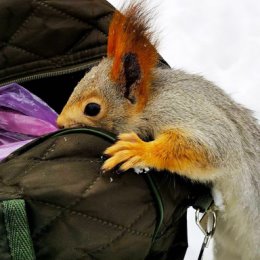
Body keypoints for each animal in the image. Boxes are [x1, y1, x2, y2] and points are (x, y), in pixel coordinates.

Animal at [57, 2, 260, 260]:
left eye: (92, 108)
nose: (59, 124)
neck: (152, 100)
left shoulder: (185, 109)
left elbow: (212, 148)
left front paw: (139, 151)